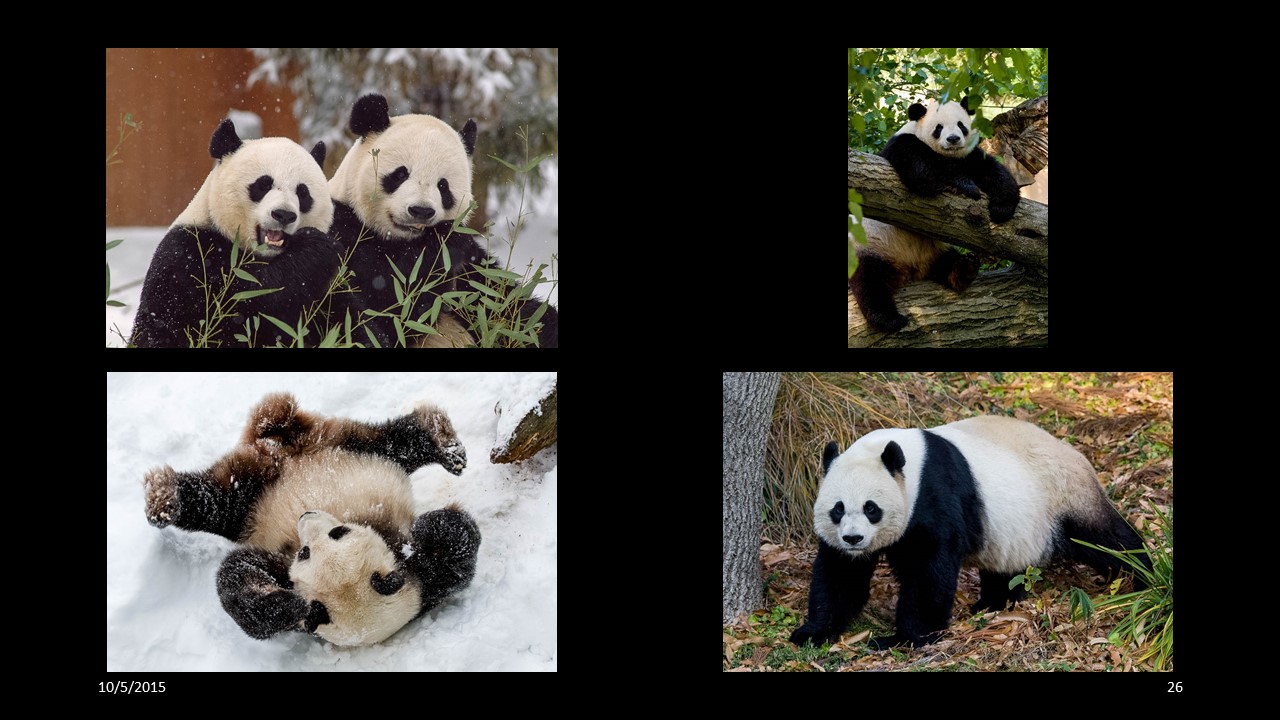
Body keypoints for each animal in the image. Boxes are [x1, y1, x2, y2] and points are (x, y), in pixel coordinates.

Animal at [132, 119, 341, 347]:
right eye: (263, 184)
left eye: (302, 192)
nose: (284, 215)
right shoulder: (190, 256)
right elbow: (248, 298)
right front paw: (317, 247)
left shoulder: (330, 292)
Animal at [143, 393, 481, 646]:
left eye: (336, 532)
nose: (306, 515)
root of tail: (293, 450)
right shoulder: (285, 564)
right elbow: (239, 576)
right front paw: (286, 606)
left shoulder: (425, 586)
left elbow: (458, 547)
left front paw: (427, 531)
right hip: (277, 485)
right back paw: (163, 499)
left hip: (340, 450)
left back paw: (439, 436)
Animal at [328, 94, 559, 348]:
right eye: (400, 174)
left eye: (443, 186)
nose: (420, 210)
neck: (401, 240)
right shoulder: (343, 230)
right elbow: (388, 303)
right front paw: (444, 243)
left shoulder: (472, 271)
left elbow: (508, 305)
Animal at [790, 416, 1150, 650]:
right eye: (838, 509)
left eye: (871, 508)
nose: (853, 539)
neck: (900, 459)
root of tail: (1075, 453)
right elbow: (841, 574)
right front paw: (812, 632)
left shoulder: (933, 494)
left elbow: (928, 569)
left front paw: (901, 638)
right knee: (1007, 567)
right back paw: (992, 603)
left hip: (1064, 495)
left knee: (1103, 538)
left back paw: (1143, 576)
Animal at [849, 97, 1021, 333]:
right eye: (938, 128)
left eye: (960, 125)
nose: (953, 139)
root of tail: (910, 269)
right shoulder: (902, 146)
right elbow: (925, 172)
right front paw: (962, 183)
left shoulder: (969, 156)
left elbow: (993, 170)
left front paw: (1002, 207)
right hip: (871, 246)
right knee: (870, 282)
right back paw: (889, 319)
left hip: (937, 249)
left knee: (947, 262)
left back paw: (964, 269)